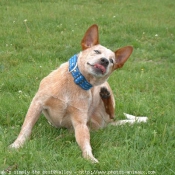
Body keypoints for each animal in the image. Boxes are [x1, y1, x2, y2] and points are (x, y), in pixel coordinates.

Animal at [9, 24, 134, 163]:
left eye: (112, 61)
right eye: (97, 51)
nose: (105, 61)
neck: (75, 83)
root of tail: (106, 124)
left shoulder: (80, 121)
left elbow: (85, 142)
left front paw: (90, 158)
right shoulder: (37, 103)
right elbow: (26, 127)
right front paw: (16, 145)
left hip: (105, 91)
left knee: (111, 113)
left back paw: (105, 96)